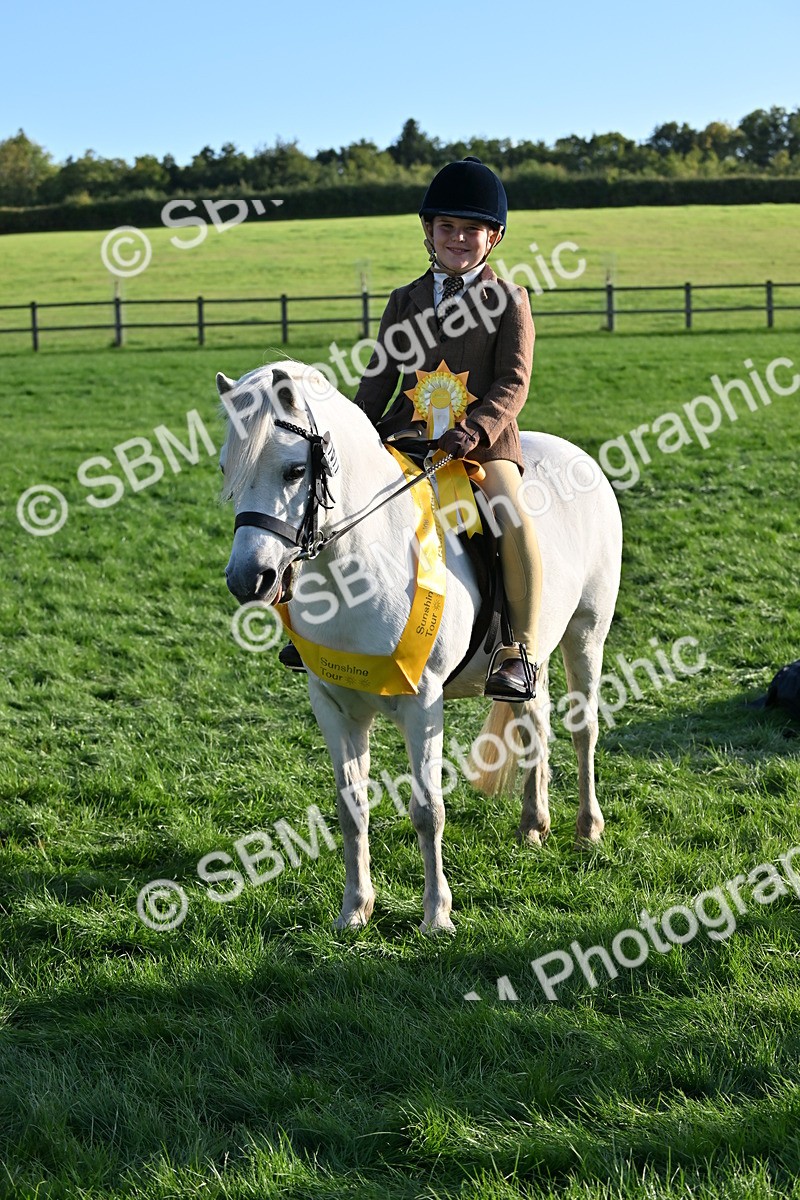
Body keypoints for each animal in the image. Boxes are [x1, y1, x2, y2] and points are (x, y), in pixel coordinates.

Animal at [218, 360, 623, 933]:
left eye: (294, 471)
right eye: (227, 469)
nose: (246, 579)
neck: (361, 567)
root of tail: (576, 453)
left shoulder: (422, 703)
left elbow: (428, 810)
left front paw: (437, 915)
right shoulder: (334, 705)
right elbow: (351, 808)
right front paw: (354, 910)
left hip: (586, 632)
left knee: (583, 728)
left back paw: (587, 829)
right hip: (535, 653)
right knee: (533, 723)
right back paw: (533, 824)